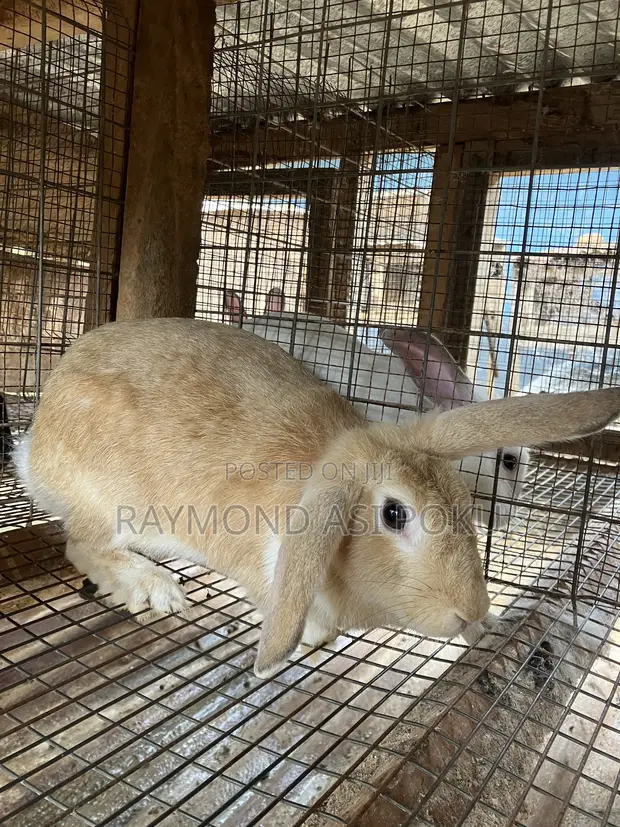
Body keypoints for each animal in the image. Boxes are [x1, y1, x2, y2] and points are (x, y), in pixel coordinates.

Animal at [14, 317, 620, 679]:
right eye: (394, 514)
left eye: (461, 503)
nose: (468, 611)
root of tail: (37, 438)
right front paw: (304, 637)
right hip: (109, 502)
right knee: (82, 546)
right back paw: (156, 589)